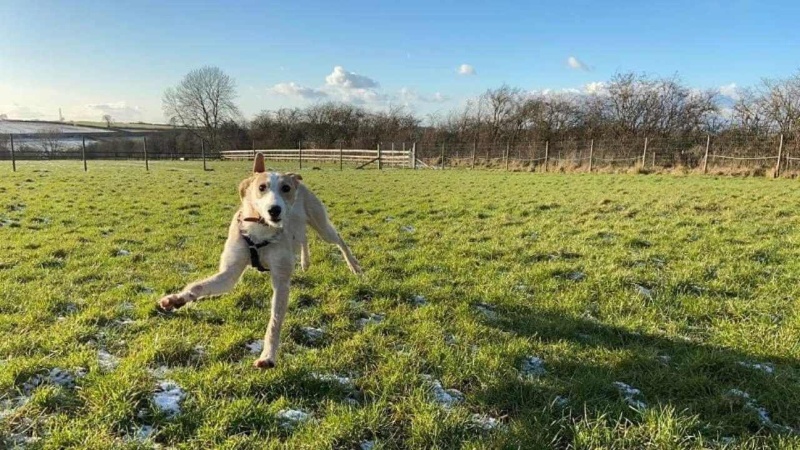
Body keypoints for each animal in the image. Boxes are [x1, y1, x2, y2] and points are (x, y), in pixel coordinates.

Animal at [157, 155, 362, 370]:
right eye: (262, 187)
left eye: (286, 188)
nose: (275, 210)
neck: (260, 230)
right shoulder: (229, 274)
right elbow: (198, 286)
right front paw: (176, 299)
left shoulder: (281, 281)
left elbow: (275, 321)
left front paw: (268, 355)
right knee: (303, 239)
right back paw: (305, 262)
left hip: (321, 225)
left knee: (338, 239)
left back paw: (354, 266)